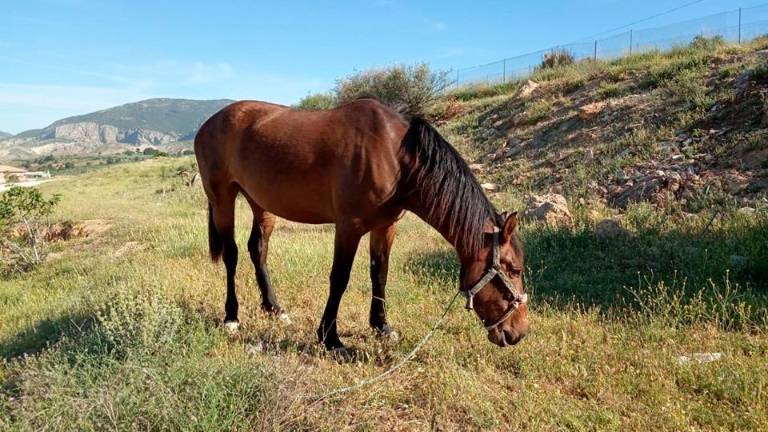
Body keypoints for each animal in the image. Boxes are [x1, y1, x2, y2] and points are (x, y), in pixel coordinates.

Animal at [192, 96, 528, 350]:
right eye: (513, 269)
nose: (518, 332)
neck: (395, 156)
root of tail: (208, 124)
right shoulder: (349, 227)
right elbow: (339, 278)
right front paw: (330, 337)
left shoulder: (385, 227)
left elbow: (380, 274)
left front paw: (382, 326)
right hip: (222, 198)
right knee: (232, 254)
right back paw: (232, 317)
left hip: (260, 202)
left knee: (258, 249)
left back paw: (274, 308)